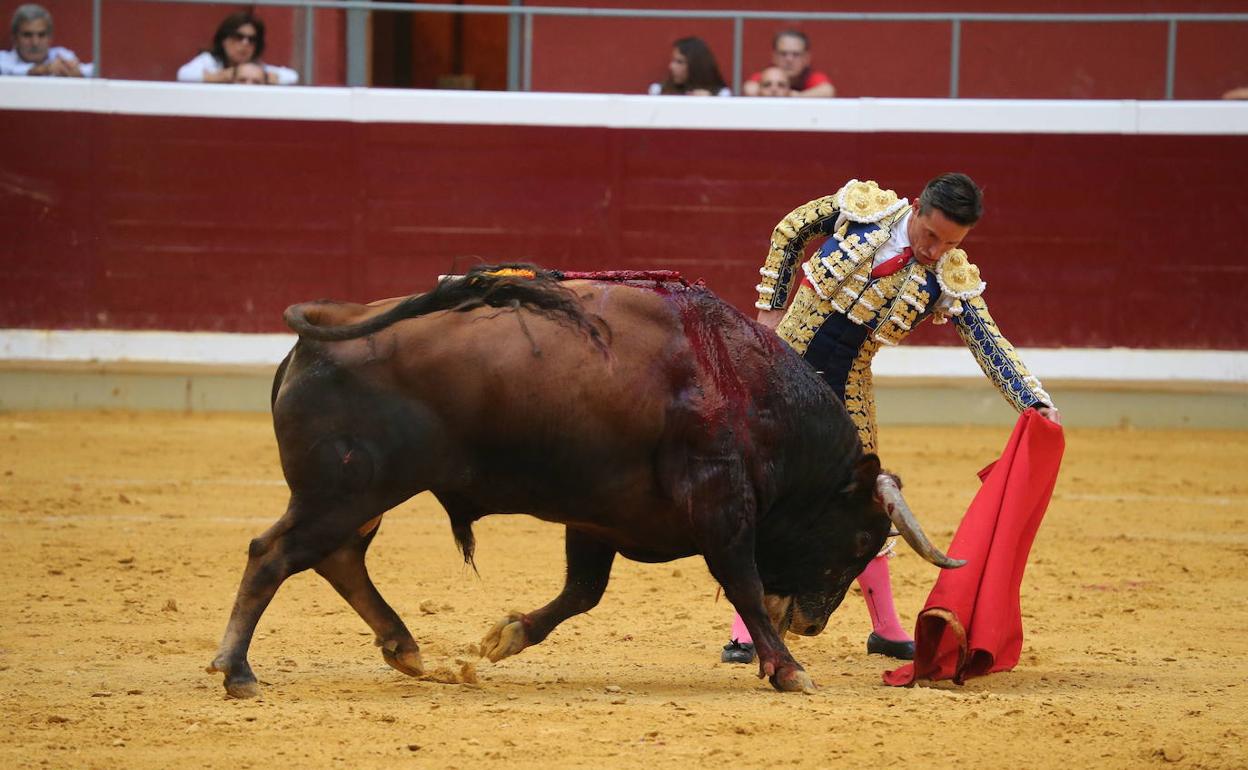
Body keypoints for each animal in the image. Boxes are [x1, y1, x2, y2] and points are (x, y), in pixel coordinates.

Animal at [209, 265, 958, 698]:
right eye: (860, 538)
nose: (810, 623)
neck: (740, 385)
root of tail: (327, 327)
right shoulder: (721, 508)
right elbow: (742, 582)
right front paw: (789, 669)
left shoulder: (599, 517)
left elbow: (582, 592)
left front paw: (504, 637)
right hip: (345, 492)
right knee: (274, 554)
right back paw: (238, 671)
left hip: (358, 497)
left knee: (335, 558)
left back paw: (409, 652)